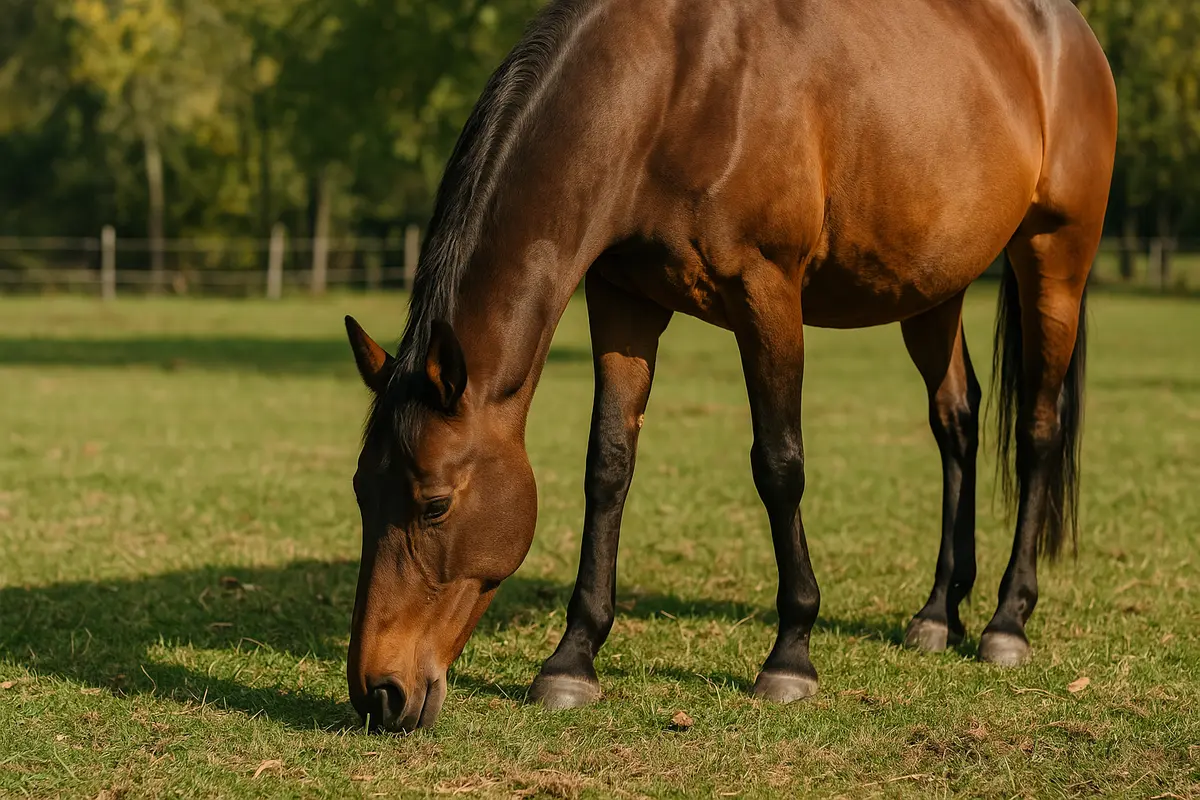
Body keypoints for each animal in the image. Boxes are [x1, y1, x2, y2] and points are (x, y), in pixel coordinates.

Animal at [342, 0, 1116, 732]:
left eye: (435, 504)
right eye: (360, 493)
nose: (379, 694)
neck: (675, 85)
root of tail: (1065, 33)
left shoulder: (766, 292)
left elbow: (779, 465)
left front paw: (791, 656)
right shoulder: (622, 301)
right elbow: (608, 465)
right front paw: (572, 660)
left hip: (1054, 258)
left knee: (1038, 431)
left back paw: (1007, 622)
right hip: (932, 287)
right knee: (956, 422)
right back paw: (937, 615)